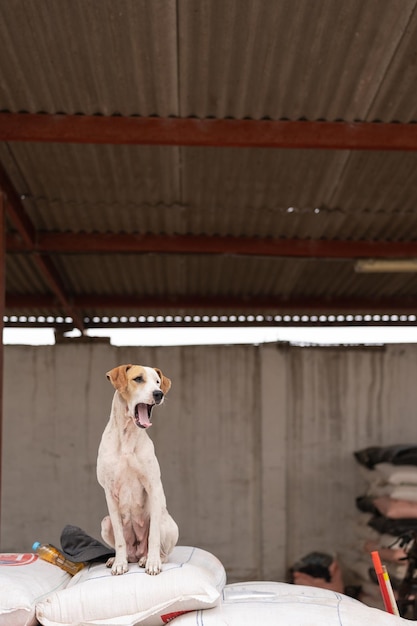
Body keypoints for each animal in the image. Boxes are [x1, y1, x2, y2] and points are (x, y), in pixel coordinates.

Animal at [96, 364, 178, 572]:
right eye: (138, 379)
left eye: (158, 382)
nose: (158, 394)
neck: (127, 436)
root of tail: (137, 552)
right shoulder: (109, 493)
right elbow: (119, 539)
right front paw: (119, 563)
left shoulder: (153, 485)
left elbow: (154, 536)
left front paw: (153, 563)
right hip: (105, 523)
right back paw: (119, 559)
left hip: (167, 523)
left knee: (162, 551)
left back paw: (148, 558)